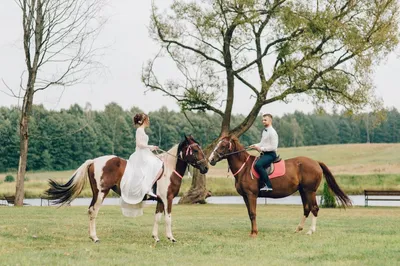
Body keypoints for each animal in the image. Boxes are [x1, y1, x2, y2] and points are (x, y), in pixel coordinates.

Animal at [46, 136, 209, 242]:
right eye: (195, 150)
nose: (206, 167)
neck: (168, 169)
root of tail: (94, 161)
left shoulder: (159, 200)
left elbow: (157, 218)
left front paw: (156, 237)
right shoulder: (167, 199)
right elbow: (168, 218)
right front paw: (171, 237)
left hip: (96, 193)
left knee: (90, 210)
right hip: (101, 193)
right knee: (93, 211)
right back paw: (95, 237)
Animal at [208, 136, 352, 236]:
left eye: (223, 145)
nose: (211, 160)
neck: (244, 168)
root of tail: (316, 162)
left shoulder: (251, 195)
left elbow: (253, 213)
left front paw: (254, 233)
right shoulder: (245, 196)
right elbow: (250, 214)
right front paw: (252, 231)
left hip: (310, 191)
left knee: (314, 208)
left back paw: (311, 231)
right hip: (303, 191)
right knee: (306, 209)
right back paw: (298, 228)